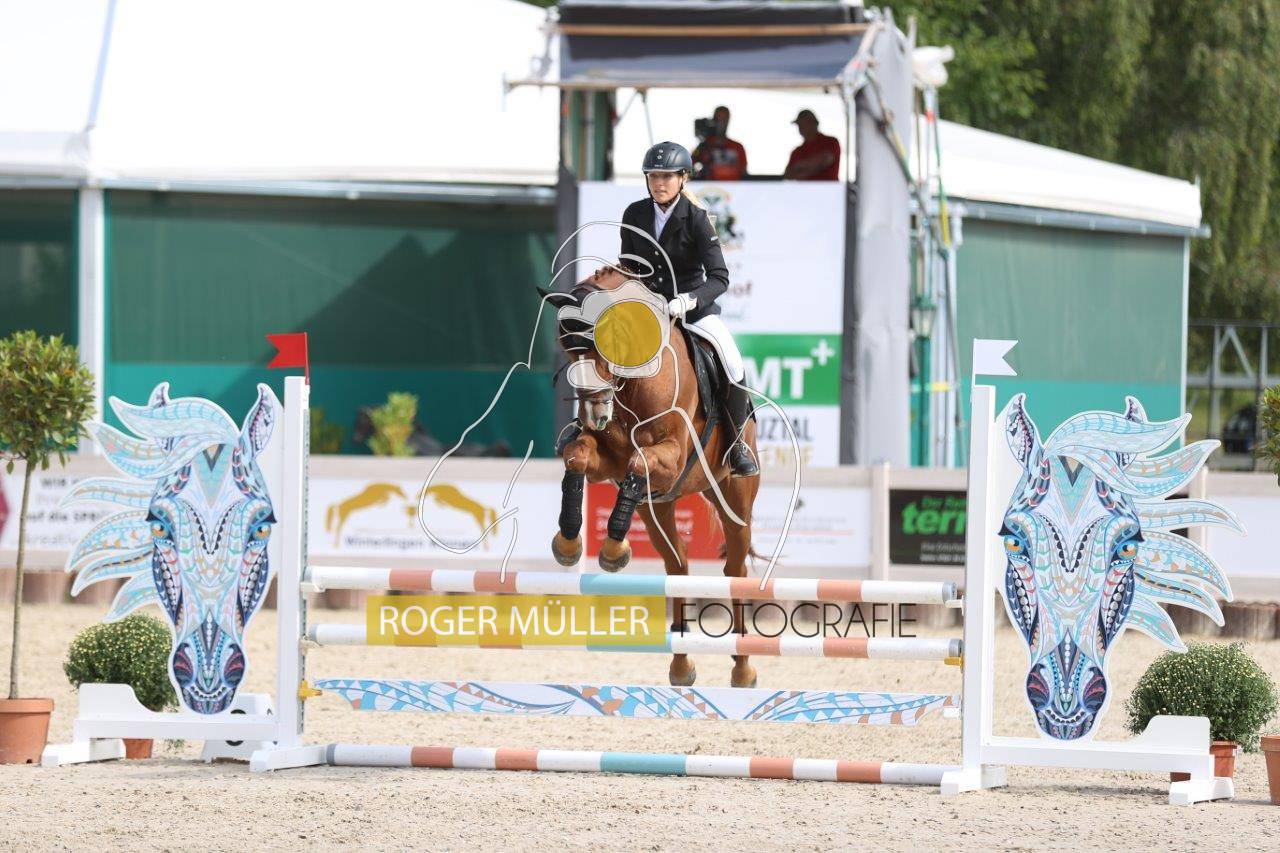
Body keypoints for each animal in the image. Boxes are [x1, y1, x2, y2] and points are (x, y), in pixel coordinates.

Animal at [539, 264, 761, 689]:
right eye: (565, 346)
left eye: (605, 342)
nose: (595, 414)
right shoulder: (606, 459)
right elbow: (578, 458)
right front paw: (572, 543)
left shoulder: (671, 457)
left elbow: (638, 464)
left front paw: (612, 550)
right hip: (657, 510)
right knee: (678, 566)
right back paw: (681, 666)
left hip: (734, 498)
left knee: (735, 571)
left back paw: (743, 669)